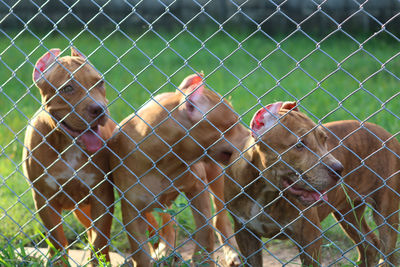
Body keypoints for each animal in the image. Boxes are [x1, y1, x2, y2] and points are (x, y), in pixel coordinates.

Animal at [22, 48, 115, 266]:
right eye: (67, 88)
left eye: (100, 82)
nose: (98, 109)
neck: (69, 144)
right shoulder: (44, 199)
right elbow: (57, 241)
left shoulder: (103, 196)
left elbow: (100, 240)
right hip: (82, 209)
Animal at [109, 74, 247, 267]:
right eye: (232, 123)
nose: (252, 134)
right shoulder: (132, 211)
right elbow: (140, 252)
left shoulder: (198, 188)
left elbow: (205, 229)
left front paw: (203, 260)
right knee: (169, 222)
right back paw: (165, 250)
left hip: (216, 176)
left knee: (220, 218)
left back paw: (231, 252)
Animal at [227, 101, 398, 266]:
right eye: (299, 145)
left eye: (325, 139)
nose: (339, 168)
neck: (265, 192)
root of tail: (387, 134)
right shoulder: (245, 232)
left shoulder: (310, 237)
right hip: (348, 212)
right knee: (369, 245)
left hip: (386, 215)